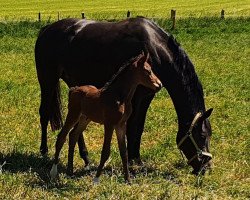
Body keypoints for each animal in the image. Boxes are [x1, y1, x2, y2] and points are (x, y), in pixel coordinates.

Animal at [49, 53, 162, 183]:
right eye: (148, 71)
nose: (159, 85)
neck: (120, 97)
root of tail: (74, 89)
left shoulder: (121, 124)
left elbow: (124, 152)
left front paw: (128, 180)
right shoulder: (109, 124)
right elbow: (105, 151)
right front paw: (96, 179)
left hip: (85, 118)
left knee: (73, 135)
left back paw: (70, 170)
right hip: (73, 114)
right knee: (62, 136)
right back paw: (54, 171)